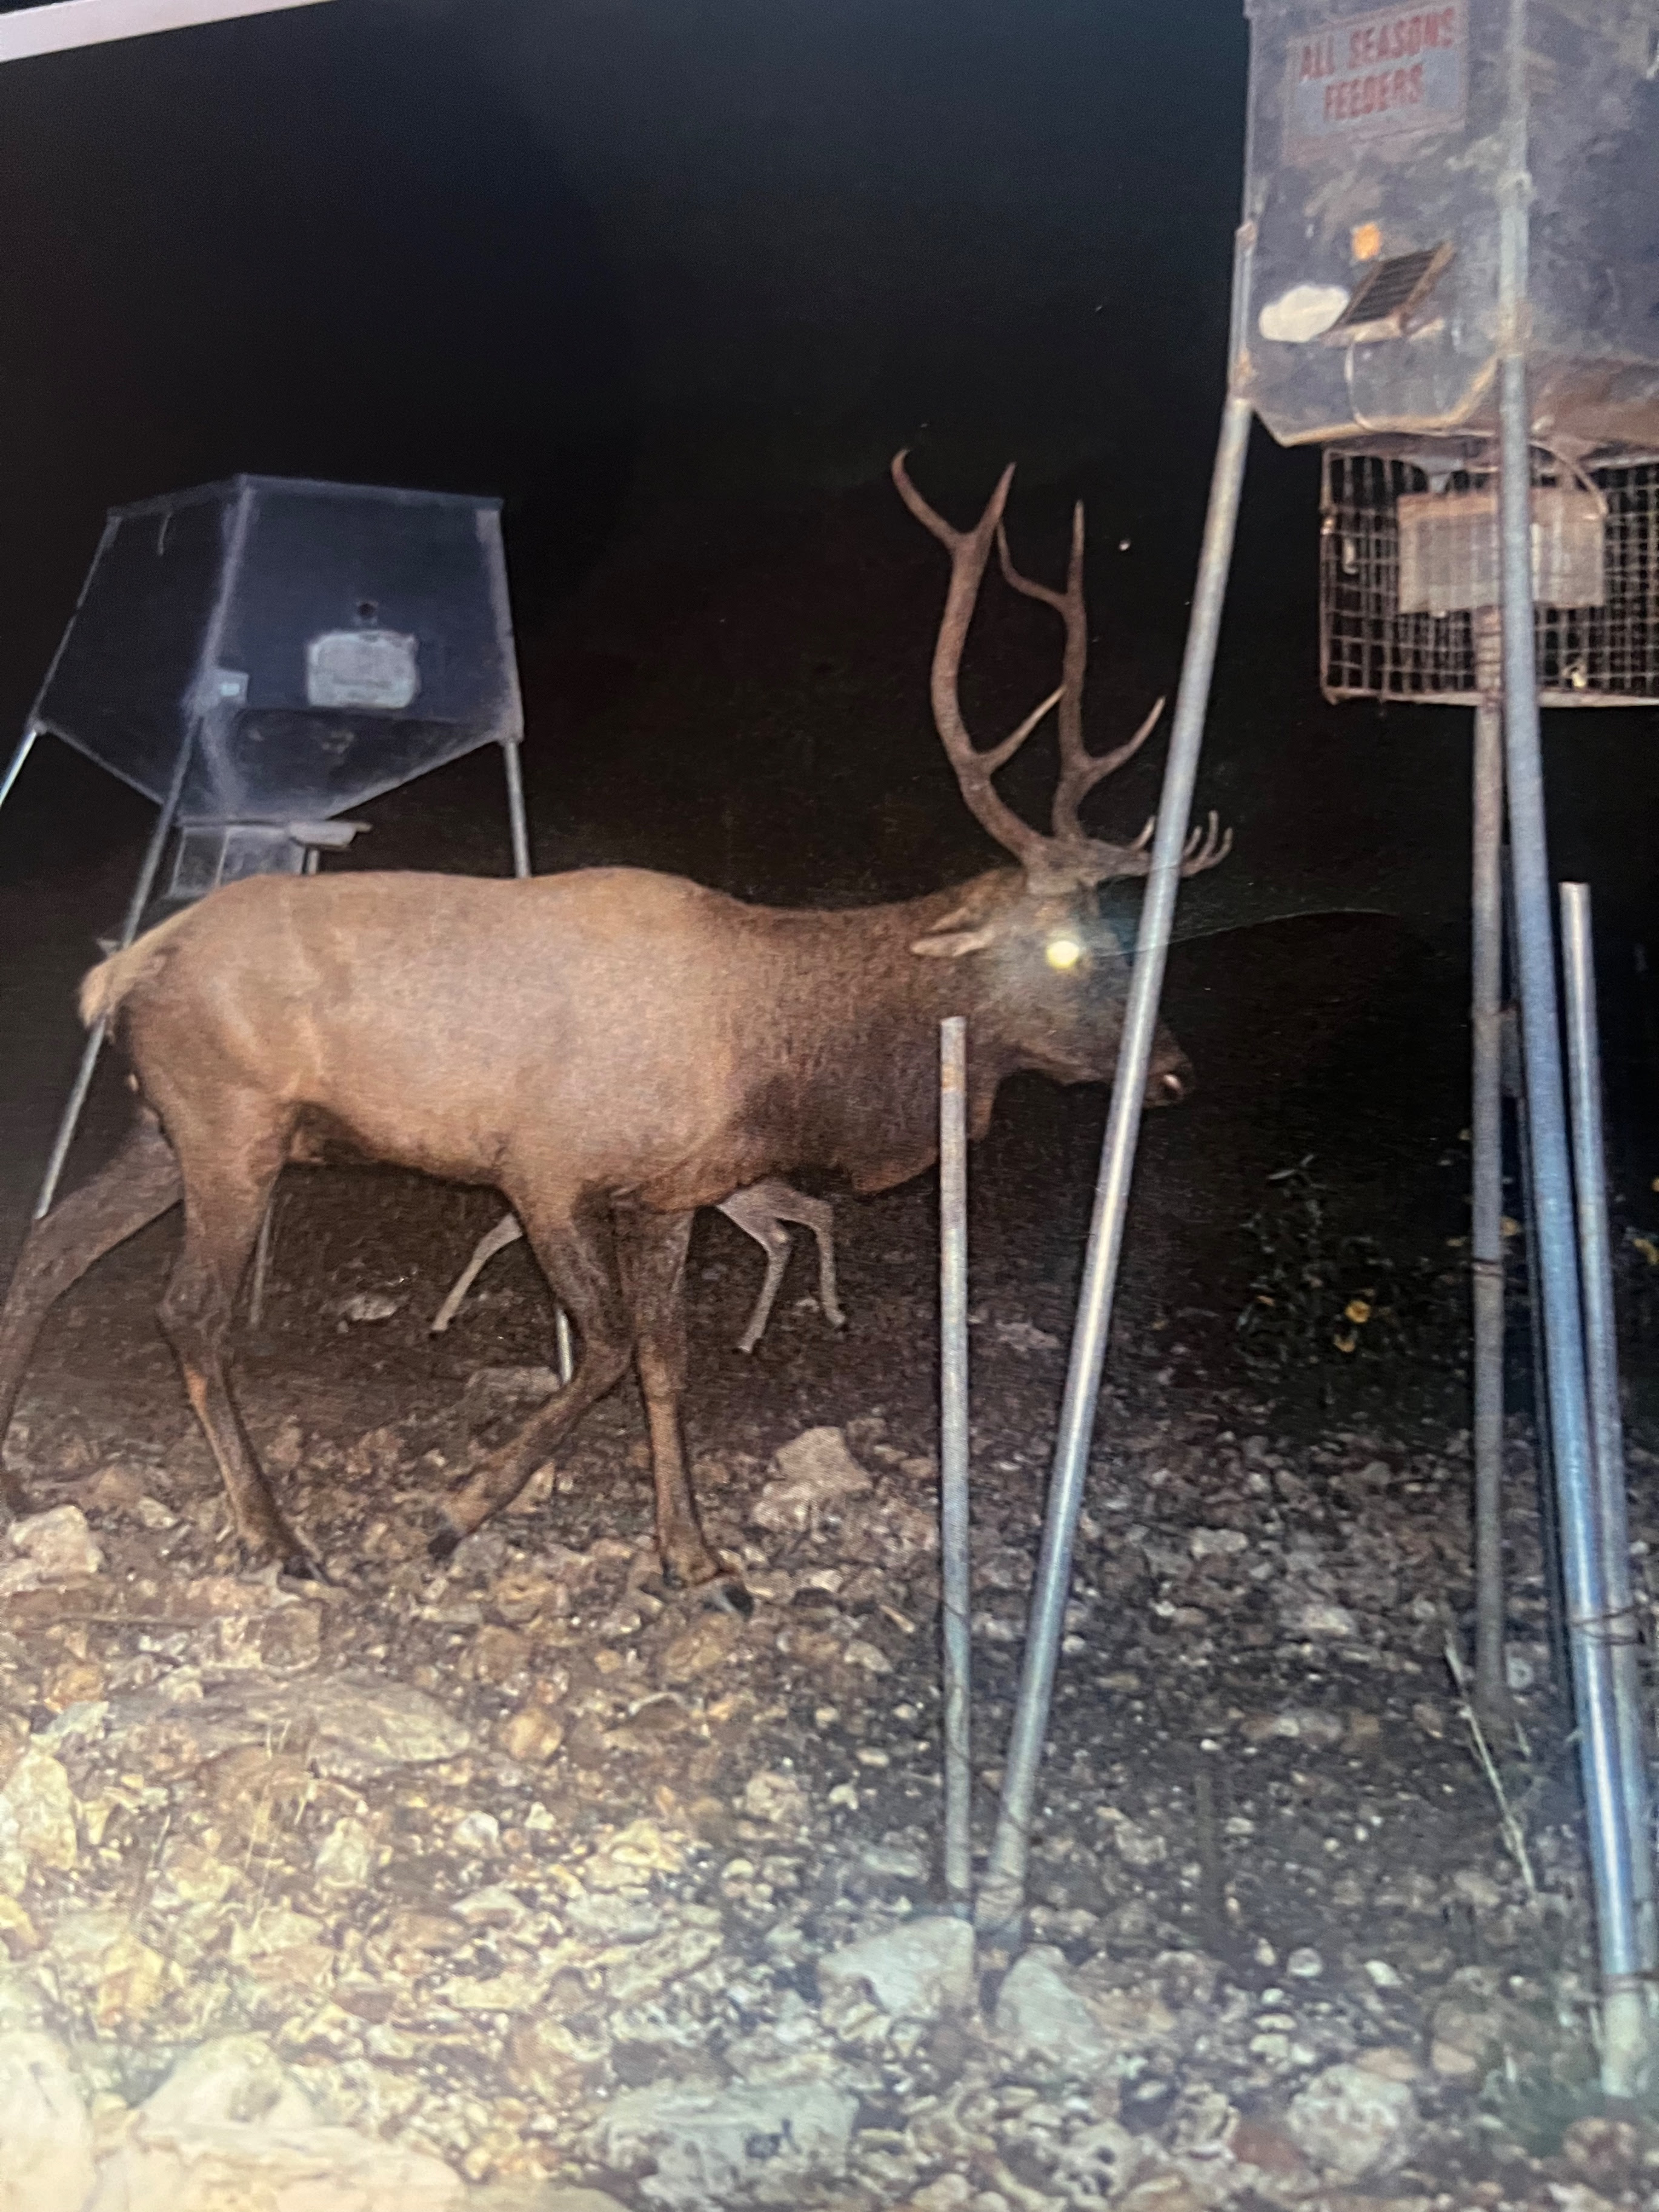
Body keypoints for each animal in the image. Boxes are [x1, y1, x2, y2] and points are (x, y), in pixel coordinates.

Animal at [431, 1179, 844, 1354]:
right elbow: (488, 1242)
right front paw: (443, 1318)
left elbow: (489, 1240)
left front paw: (440, 1319)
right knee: (808, 1217)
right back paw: (826, 1312)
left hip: (739, 1195)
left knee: (790, 1229)